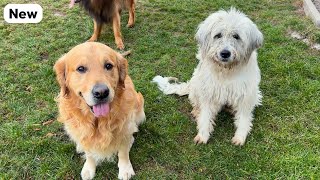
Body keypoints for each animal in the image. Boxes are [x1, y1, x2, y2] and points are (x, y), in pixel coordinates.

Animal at [54, 42, 144, 180]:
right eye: (81, 68)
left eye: (108, 66)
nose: (101, 93)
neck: (98, 120)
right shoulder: (84, 133)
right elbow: (89, 153)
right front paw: (89, 168)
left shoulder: (125, 128)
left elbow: (123, 152)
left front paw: (125, 169)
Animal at [154, 8, 264, 146]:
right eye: (218, 35)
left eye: (236, 36)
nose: (225, 53)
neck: (226, 71)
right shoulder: (209, 92)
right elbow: (205, 116)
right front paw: (203, 135)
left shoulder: (246, 95)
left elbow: (244, 118)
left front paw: (240, 137)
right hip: (197, 84)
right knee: (195, 102)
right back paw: (196, 111)